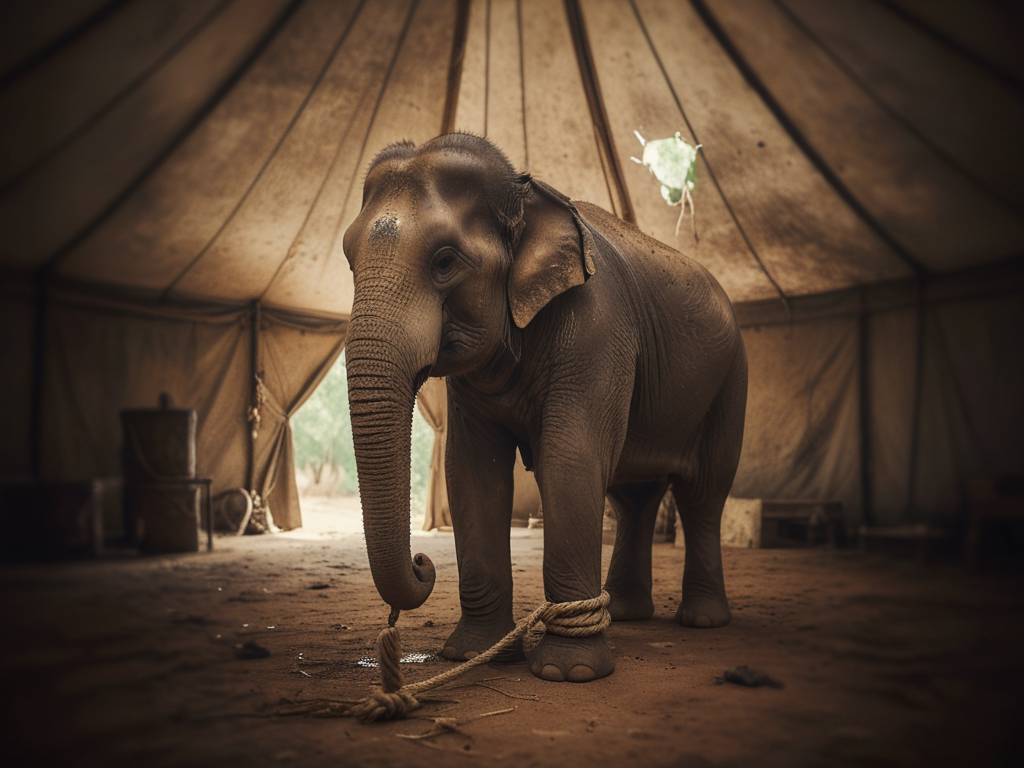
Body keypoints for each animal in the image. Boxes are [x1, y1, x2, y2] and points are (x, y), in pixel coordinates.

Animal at [343, 133, 747, 683]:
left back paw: (702, 621)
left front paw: (567, 672)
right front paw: (469, 656)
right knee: (634, 497)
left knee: (703, 493)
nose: (424, 563)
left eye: (445, 261)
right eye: (348, 259)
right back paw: (625, 612)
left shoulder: (599, 326)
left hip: (731, 380)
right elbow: (473, 470)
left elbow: (569, 457)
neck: (527, 193)